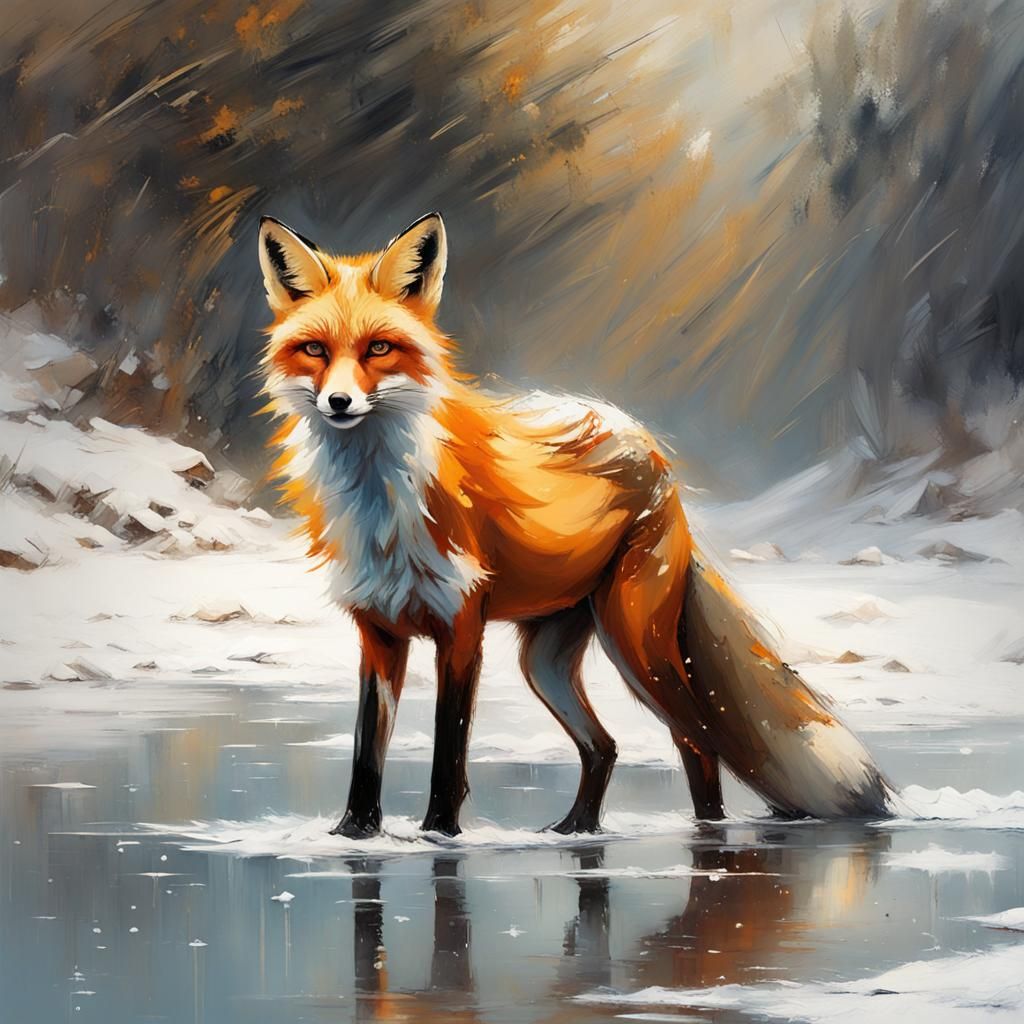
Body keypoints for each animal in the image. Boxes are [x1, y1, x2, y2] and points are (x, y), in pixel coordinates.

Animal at [256, 210, 893, 838]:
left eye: (380, 348)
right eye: (314, 349)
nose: (339, 402)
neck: (381, 505)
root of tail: (649, 447)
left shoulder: (461, 629)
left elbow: (449, 752)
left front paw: (440, 834)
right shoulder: (379, 631)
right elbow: (367, 751)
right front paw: (354, 835)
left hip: (639, 648)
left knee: (697, 743)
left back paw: (704, 832)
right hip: (545, 661)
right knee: (604, 746)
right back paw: (576, 830)